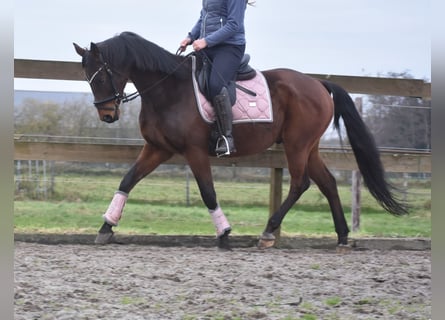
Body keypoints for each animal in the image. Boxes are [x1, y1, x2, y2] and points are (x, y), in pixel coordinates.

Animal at [73, 31, 406, 250]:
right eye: (88, 78)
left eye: (101, 76)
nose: (107, 115)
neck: (168, 89)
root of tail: (318, 84)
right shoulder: (158, 149)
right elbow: (127, 181)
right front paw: (106, 227)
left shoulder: (194, 151)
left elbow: (208, 192)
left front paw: (224, 234)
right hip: (308, 147)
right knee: (327, 183)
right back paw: (342, 236)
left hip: (297, 145)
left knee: (301, 183)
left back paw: (268, 233)